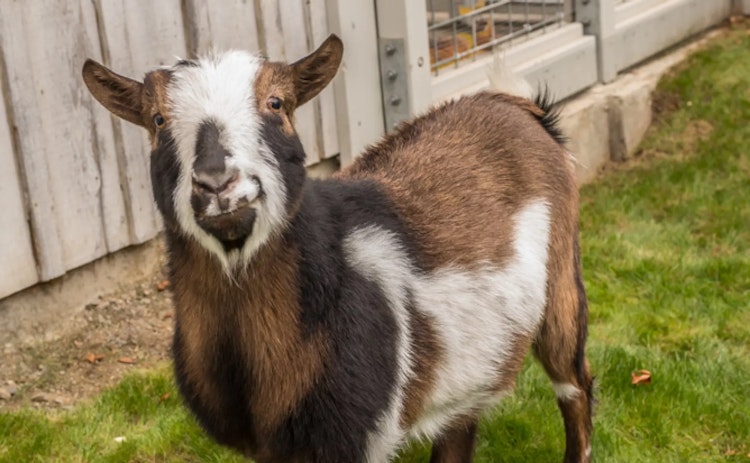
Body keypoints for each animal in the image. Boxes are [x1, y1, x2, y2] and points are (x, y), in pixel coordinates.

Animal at [82, 33, 596, 463]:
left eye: (277, 103)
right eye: (156, 119)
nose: (217, 183)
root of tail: (516, 104)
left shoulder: (355, 437)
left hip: (562, 282)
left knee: (576, 385)